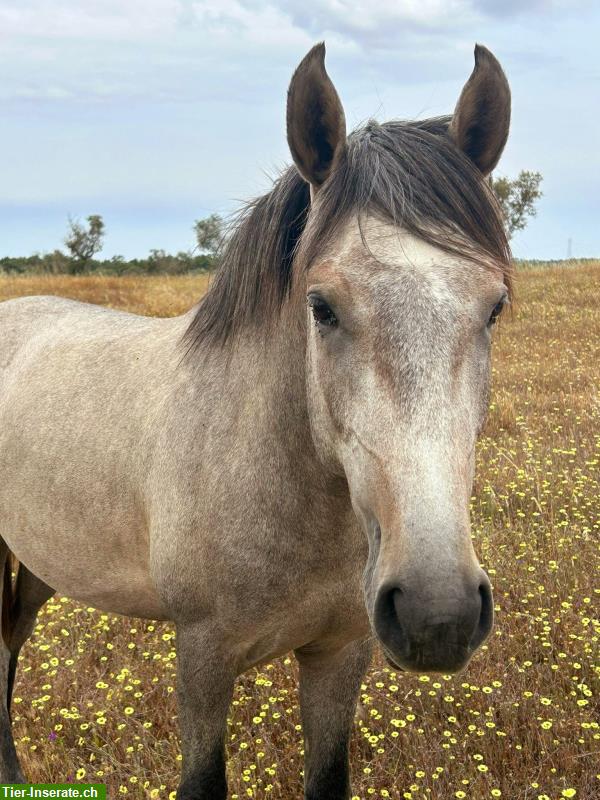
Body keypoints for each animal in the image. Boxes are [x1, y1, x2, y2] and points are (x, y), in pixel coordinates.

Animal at [0, 42, 510, 800]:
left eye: (494, 306)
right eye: (321, 306)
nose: (436, 612)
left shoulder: (339, 653)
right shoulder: (204, 658)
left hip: (36, 564)